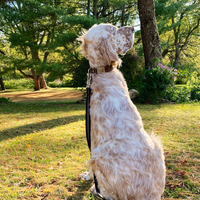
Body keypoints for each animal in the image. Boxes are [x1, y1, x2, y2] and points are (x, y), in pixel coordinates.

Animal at [78, 23, 166, 200]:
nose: (132, 28)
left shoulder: (94, 138)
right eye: (114, 30)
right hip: (156, 144)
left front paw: (89, 179)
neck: (101, 71)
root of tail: (150, 195)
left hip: (101, 157)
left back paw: (97, 191)